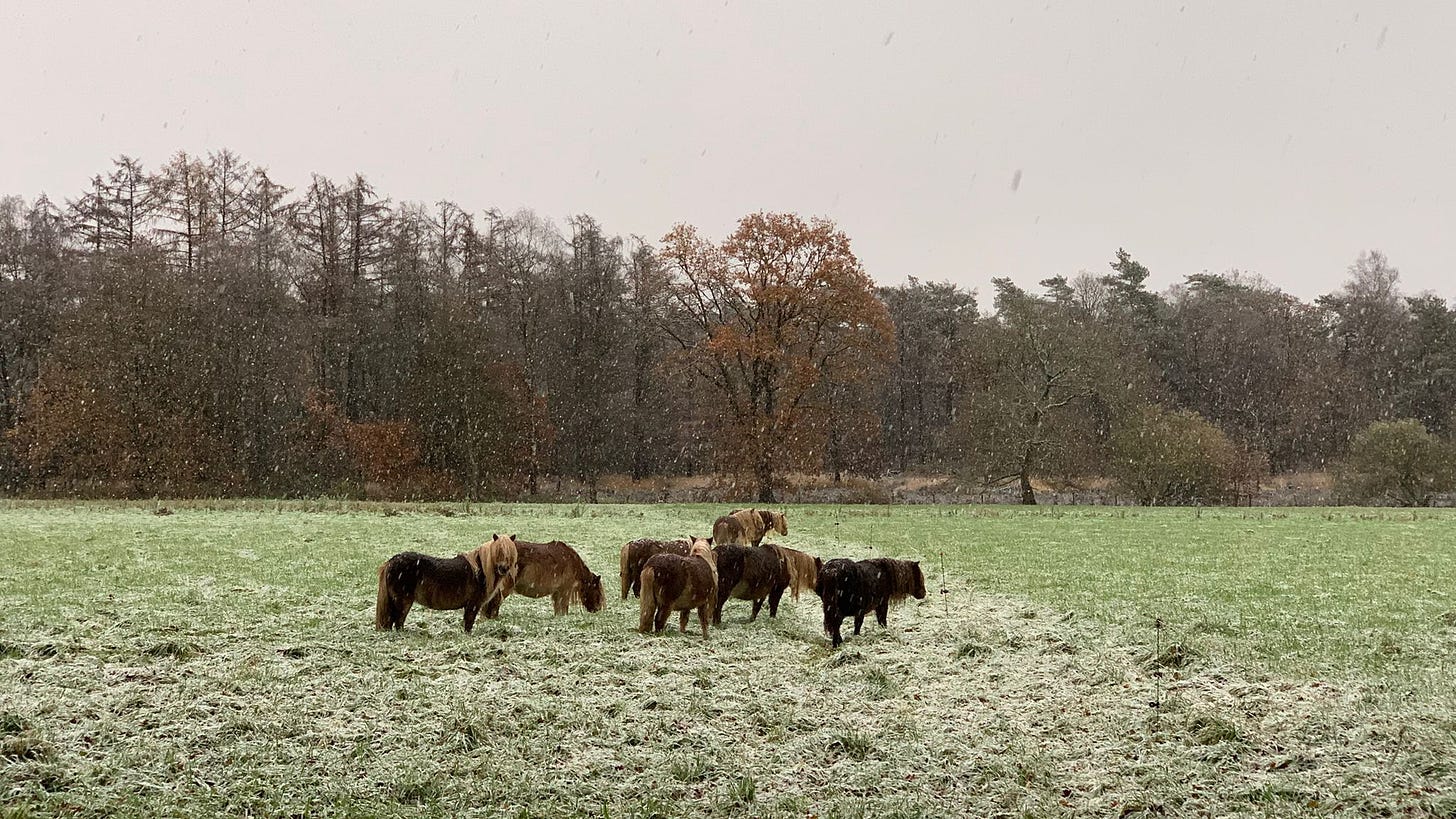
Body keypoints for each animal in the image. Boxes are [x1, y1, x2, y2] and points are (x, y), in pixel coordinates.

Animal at [375, 530, 518, 632]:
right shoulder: (473, 605)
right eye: (498, 551)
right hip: (403, 601)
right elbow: (469, 623)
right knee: (398, 621)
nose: (503, 568)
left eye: (510, 553)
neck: (480, 569)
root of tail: (391, 562)